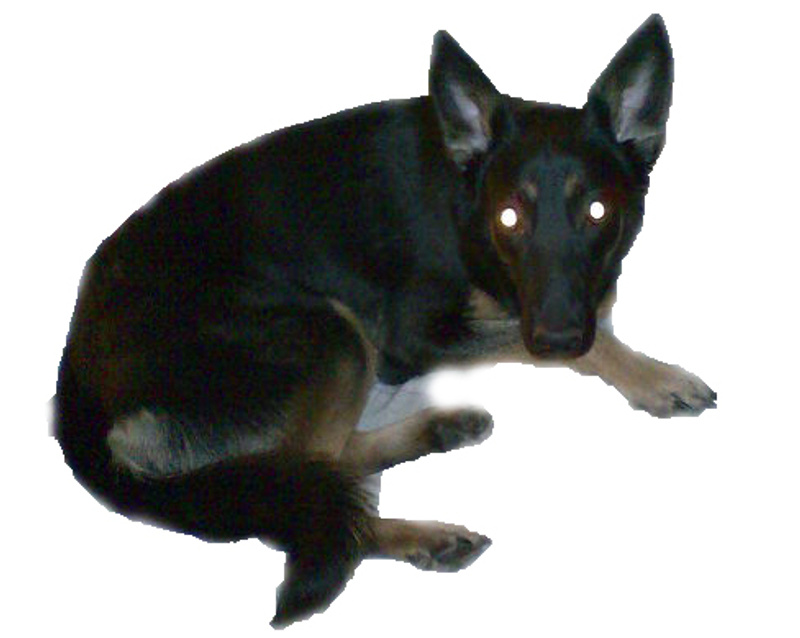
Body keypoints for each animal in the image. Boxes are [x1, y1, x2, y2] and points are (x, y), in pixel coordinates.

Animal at [55, 14, 715, 628]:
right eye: (508, 217)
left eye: (599, 211)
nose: (557, 334)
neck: (464, 202)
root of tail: (77, 393)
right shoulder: (414, 337)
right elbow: (576, 341)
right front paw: (654, 376)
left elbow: (589, 322)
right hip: (333, 335)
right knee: (308, 503)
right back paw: (421, 533)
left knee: (323, 472)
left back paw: (441, 431)